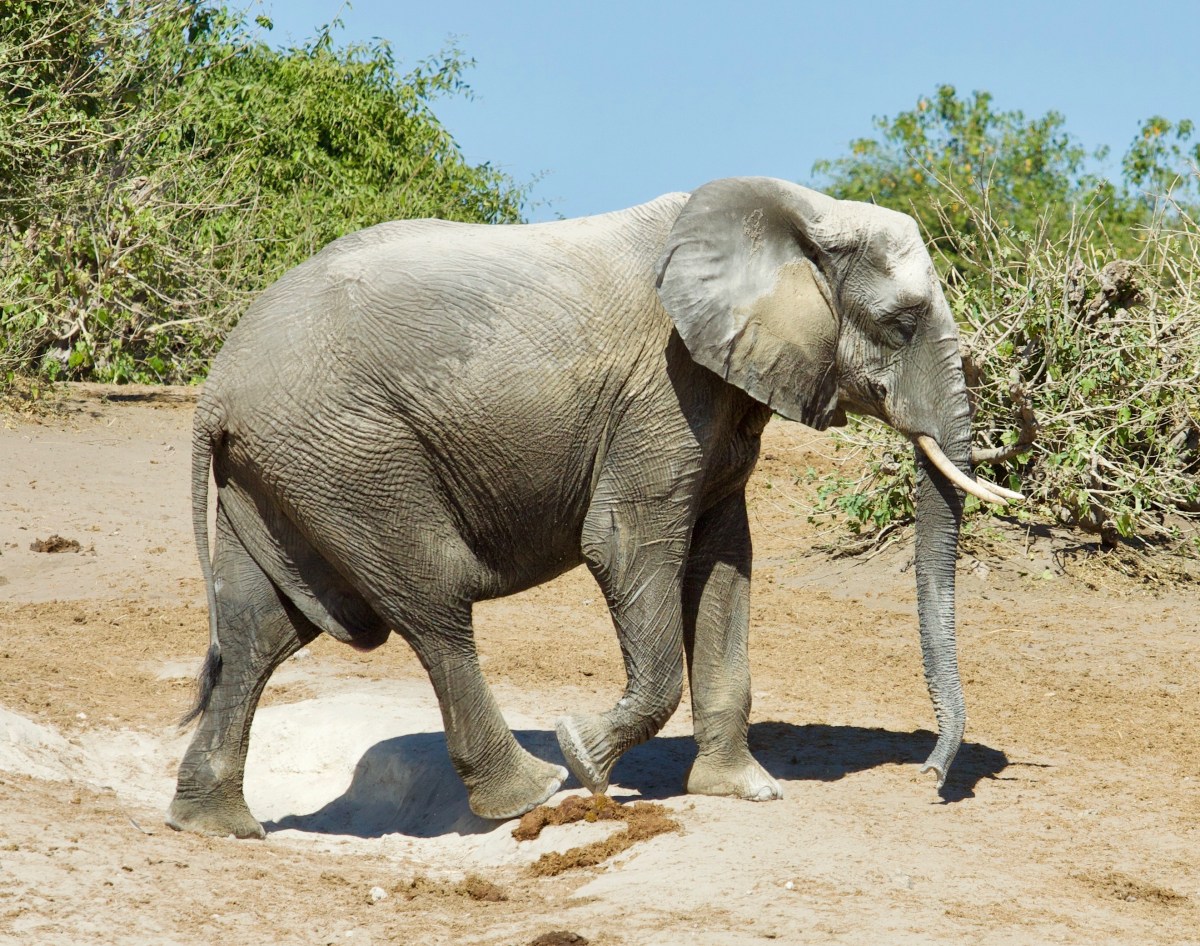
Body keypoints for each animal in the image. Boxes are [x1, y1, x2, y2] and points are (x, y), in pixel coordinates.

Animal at [164, 174, 1017, 840]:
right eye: (901, 324)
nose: (930, 778)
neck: (799, 211)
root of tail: (216, 391)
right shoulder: (662, 392)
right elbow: (626, 544)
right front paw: (583, 753)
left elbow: (724, 564)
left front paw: (744, 791)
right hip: (352, 456)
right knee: (432, 605)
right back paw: (530, 791)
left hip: (283, 469)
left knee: (260, 629)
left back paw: (216, 826)